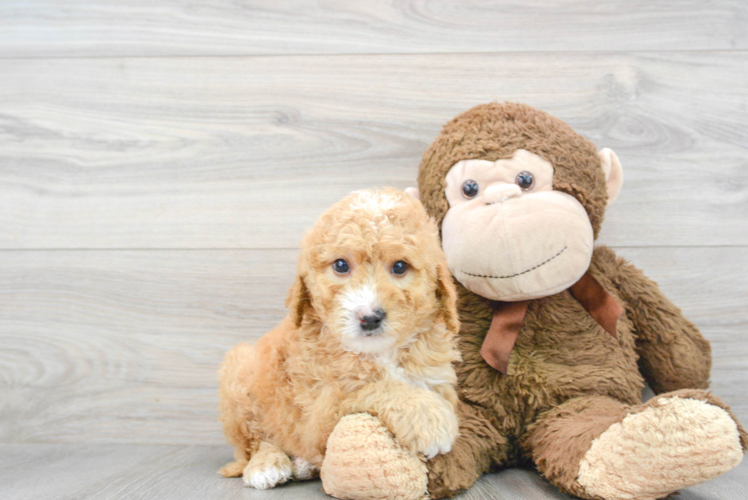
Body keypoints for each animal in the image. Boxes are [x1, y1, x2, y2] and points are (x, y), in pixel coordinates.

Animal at [218, 188, 462, 488]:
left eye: (400, 266)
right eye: (341, 265)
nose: (369, 317)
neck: (379, 353)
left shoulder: (436, 380)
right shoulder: (320, 412)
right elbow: (373, 388)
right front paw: (427, 417)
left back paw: (302, 466)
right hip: (239, 377)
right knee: (254, 443)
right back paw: (266, 465)